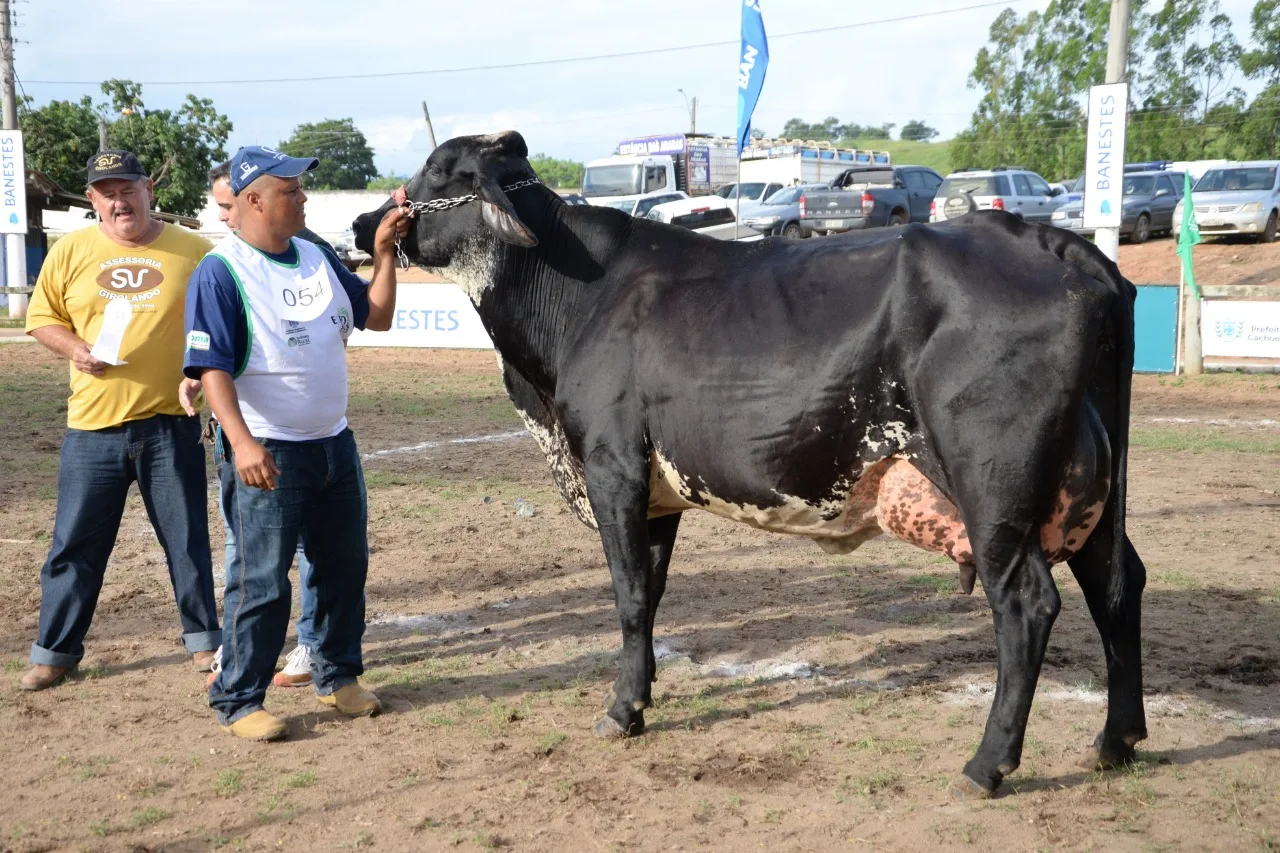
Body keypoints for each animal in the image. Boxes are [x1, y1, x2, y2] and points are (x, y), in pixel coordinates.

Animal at [358, 129, 1152, 794]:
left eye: (437, 171)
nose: (366, 225)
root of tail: (1050, 241)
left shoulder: (612, 465)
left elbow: (626, 595)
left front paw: (620, 710)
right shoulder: (656, 493)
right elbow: (649, 596)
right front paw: (640, 696)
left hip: (994, 488)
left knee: (1027, 604)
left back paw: (987, 765)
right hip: (1084, 488)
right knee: (1119, 584)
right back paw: (1116, 739)